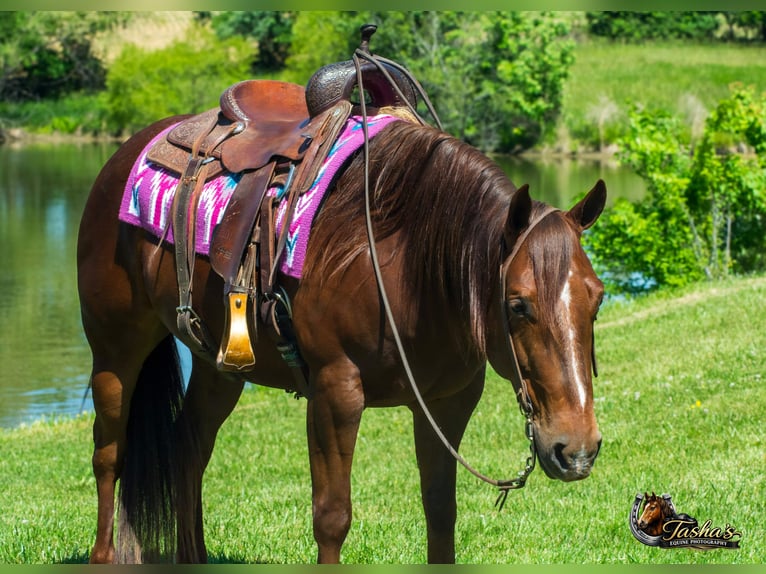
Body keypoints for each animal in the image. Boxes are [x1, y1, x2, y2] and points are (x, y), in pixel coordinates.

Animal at [77, 114, 607, 564]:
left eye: (597, 298)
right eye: (518, 304)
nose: (576, 450)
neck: (405, 267)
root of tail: (128, 151)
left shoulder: (446, 403)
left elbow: (441, 512)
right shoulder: (336, 393)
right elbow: (332, 517)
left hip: (219, 367)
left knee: (189, 450)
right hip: (115, 351)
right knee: (109, 455)